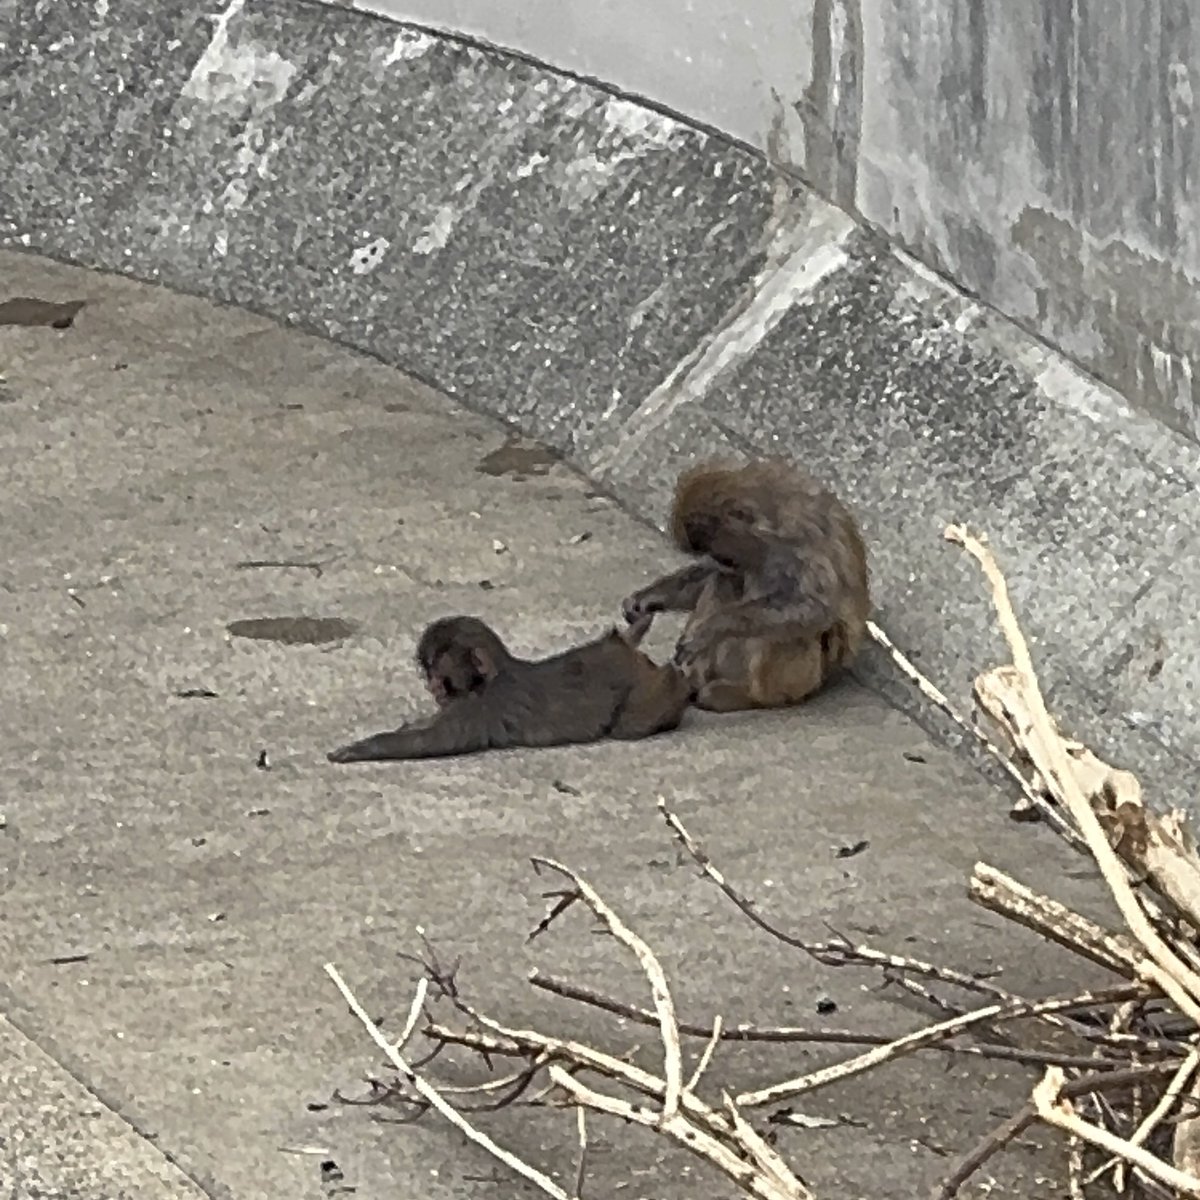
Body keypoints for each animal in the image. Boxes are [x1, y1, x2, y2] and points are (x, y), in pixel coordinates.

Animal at [326, 614, 692, 763]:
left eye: (439, 675)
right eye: (428, 674)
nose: (434, 689)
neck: (487, 680)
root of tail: (622, 649)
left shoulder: (477, 709)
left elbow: (431, 741)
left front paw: (359, 749)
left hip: (641, 693)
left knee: (630, 724)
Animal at [620, 458, 870, 713]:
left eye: (725, 557)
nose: (726, 564)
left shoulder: (806, 545)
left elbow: (813, 610)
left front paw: (712, 627)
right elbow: (712, 575)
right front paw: (649, 598)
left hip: (801, 679)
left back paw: (749, 697)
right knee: (725, 583)